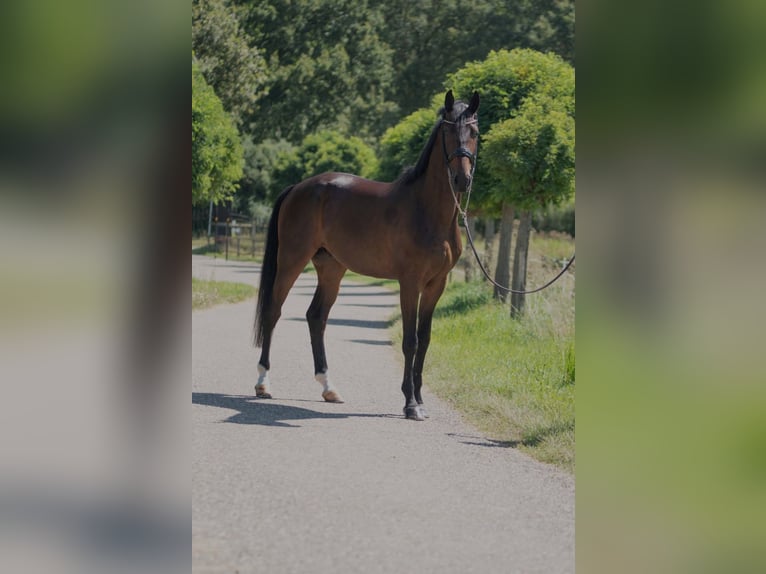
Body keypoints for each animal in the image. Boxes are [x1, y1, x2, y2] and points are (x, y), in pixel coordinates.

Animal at [254, 91, 480, 424]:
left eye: (474, 132)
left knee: (316, 317)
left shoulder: (436, 284)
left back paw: (329, 388)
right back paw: (263, 383)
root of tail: (299, 187)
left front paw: (420, 401)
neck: (427, 211)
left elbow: (424, 339)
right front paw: (410, 404)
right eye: (448, 132)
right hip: (291, 261)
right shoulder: (410, 283)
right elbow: (410, 341)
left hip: (332, 268)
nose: (462, 179)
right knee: (273, 311)